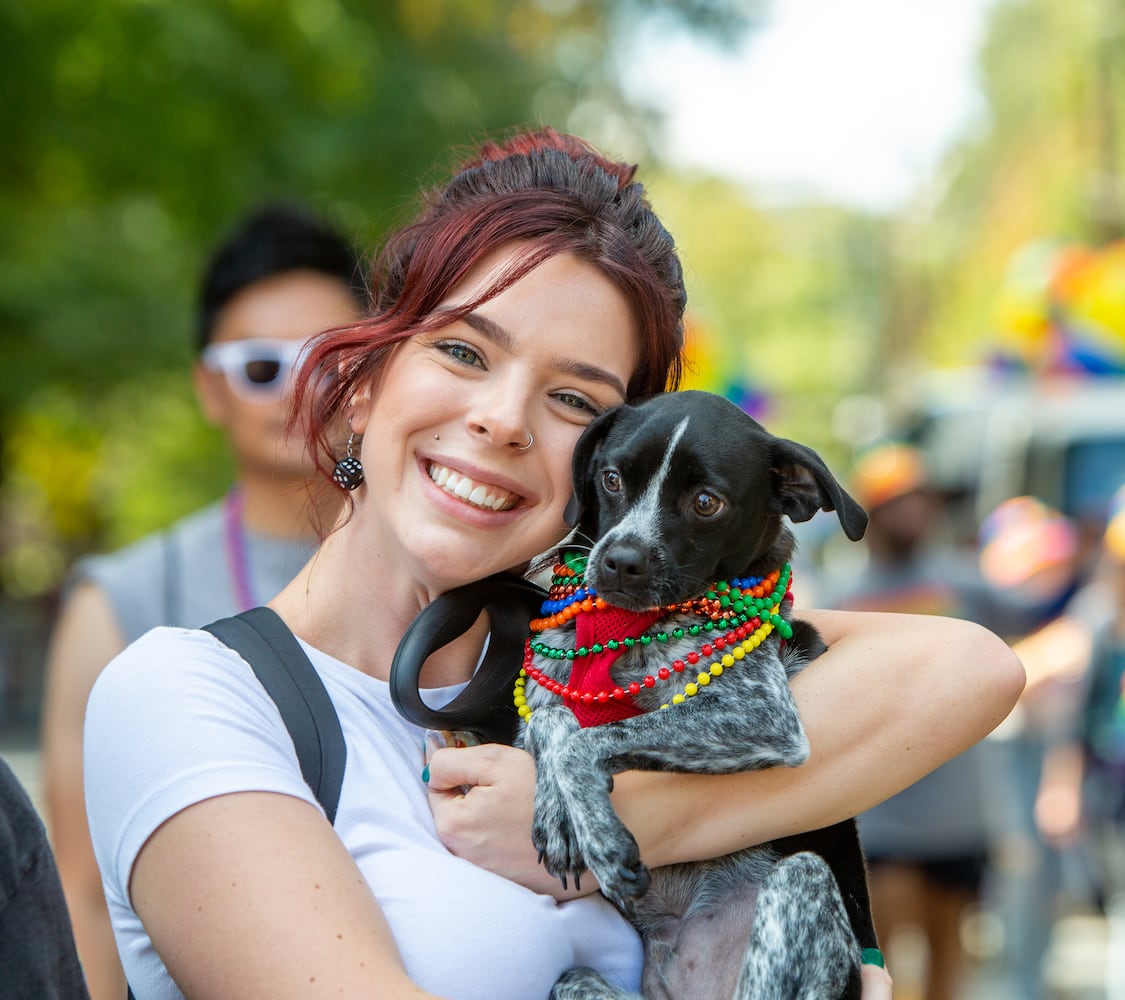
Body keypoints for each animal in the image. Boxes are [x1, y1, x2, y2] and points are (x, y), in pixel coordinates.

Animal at [515, 389, 868, 998]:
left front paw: (598, 836)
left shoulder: (762, 716)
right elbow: (553, 722)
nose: (619, 562)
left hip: (800, 883)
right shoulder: (531, 717)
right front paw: (558, 816)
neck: (630, 631)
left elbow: (585, 741)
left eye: (707, 502)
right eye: (611, 478)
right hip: (575, 980)